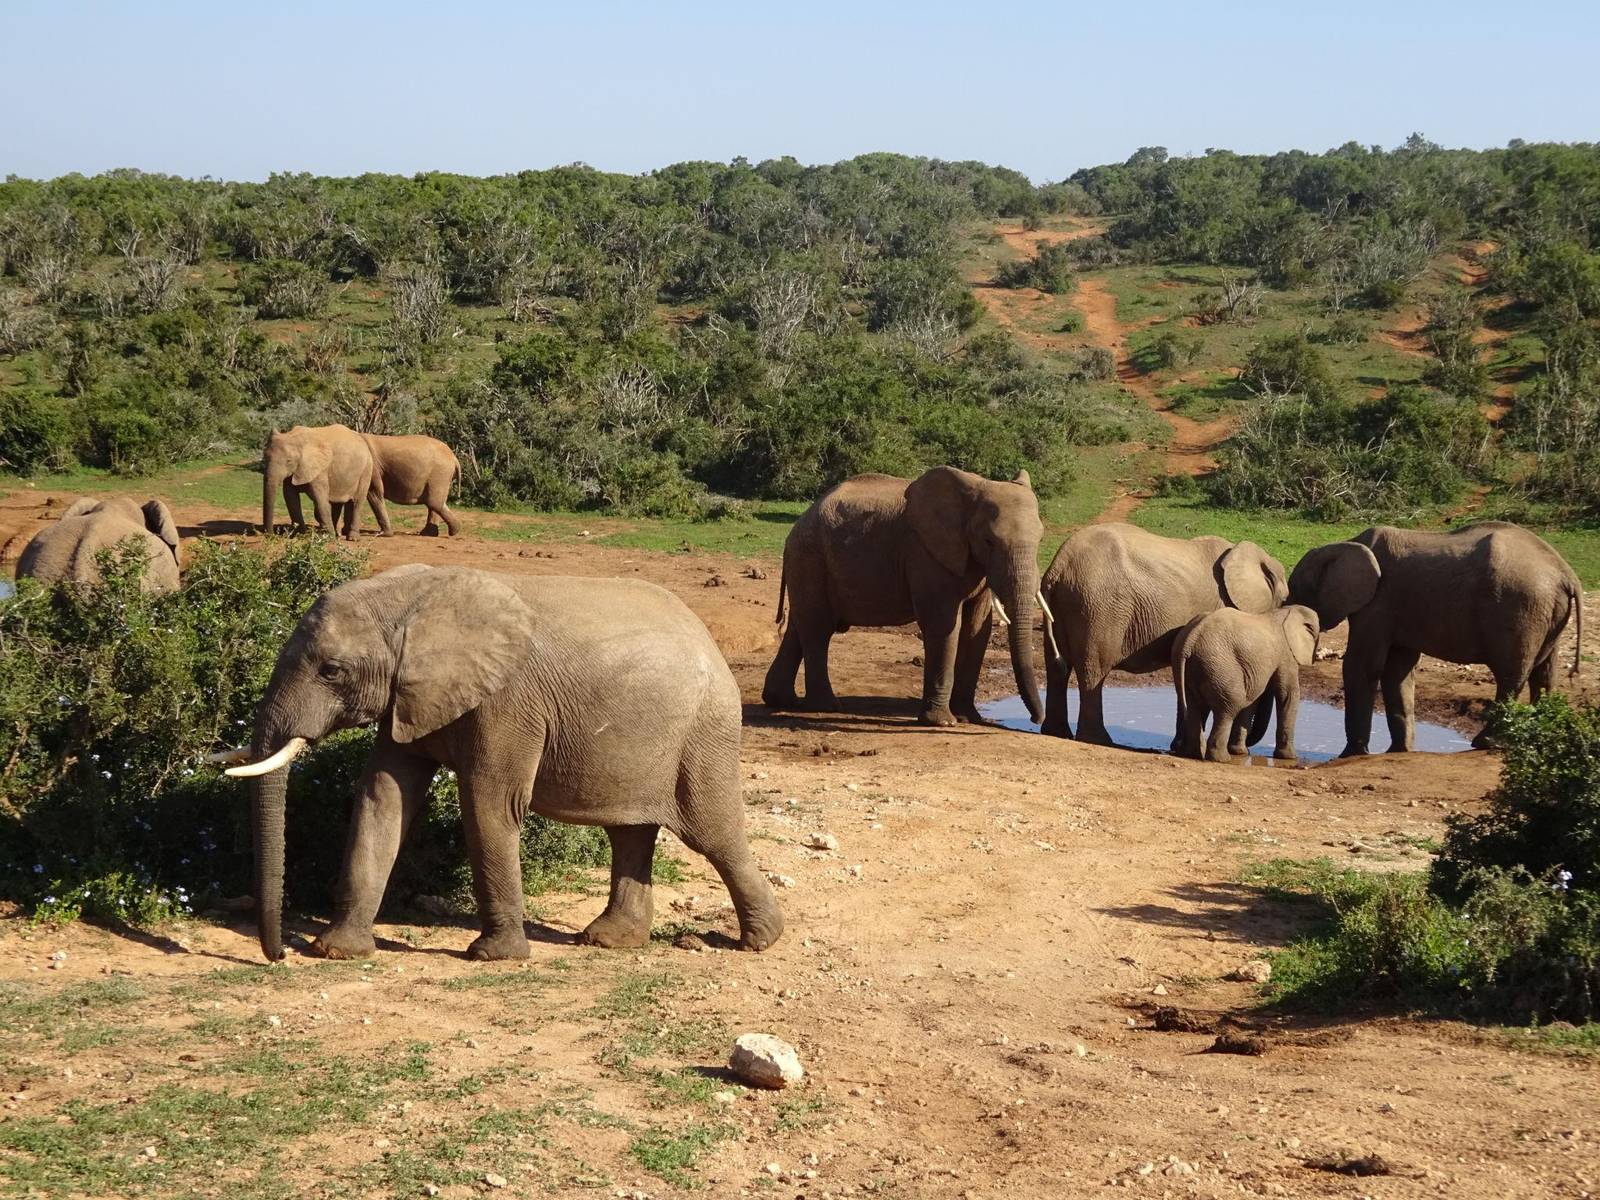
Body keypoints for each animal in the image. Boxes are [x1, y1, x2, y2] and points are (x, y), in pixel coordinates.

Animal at [211, 564, 783, 963]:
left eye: (331, 671)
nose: (278, 955)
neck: (411, 600)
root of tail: (709, 639)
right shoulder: (410, 697)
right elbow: (383, 797)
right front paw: (335, 951)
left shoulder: (507, 703)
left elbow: (489, 803)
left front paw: (492, 956)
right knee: (630, 833)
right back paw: (609, 941)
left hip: (704, 733)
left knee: (712, 832)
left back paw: (760, 941)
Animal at [761, 466, 1045, 728]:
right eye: (989, 541)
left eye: (1041, 539)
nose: (1036, 720)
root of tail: (798, 523)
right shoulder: (923, 552)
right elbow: (943, 625)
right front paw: (942, 723)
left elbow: (977, 628)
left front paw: (969, 718)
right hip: (810, 557)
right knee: (818, 628)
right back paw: (826, 707)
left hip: (808, 562)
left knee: (800, 625)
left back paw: (781, 700)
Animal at [1040, 523, 1289, 744]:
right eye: (1285, 599)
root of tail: (1058, 565)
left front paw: (1179, 746)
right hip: (1098, 607)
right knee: (1093, 671)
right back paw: (1099, 740)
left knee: (1057, 667)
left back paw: (1057, 733)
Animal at [1172, 605, 1320, 763]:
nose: (1249, 746)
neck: (1287, 610)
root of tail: (1190, 640)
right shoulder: (1286, 653)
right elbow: (1288, 695)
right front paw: (1290, 757)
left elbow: (1252, 700)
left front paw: (1240, 752)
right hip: (1220, 666)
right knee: (1230, 706)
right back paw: (1222, 759)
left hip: (1193, 666)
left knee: (1194, 706)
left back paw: (1192, 754)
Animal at [1289, 521, 1584, 755]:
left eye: (1296, 591)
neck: (1344, 544)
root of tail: (1567, 574)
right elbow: (1398, 670)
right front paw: (1400, 750)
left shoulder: (1378, 603)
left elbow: (1362, 665)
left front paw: (1350, 754)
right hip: (1545, 614)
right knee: (1544, 673)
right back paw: (1535, 738)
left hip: (1520, 608)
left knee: (1512, 674)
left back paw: (1486, 743)